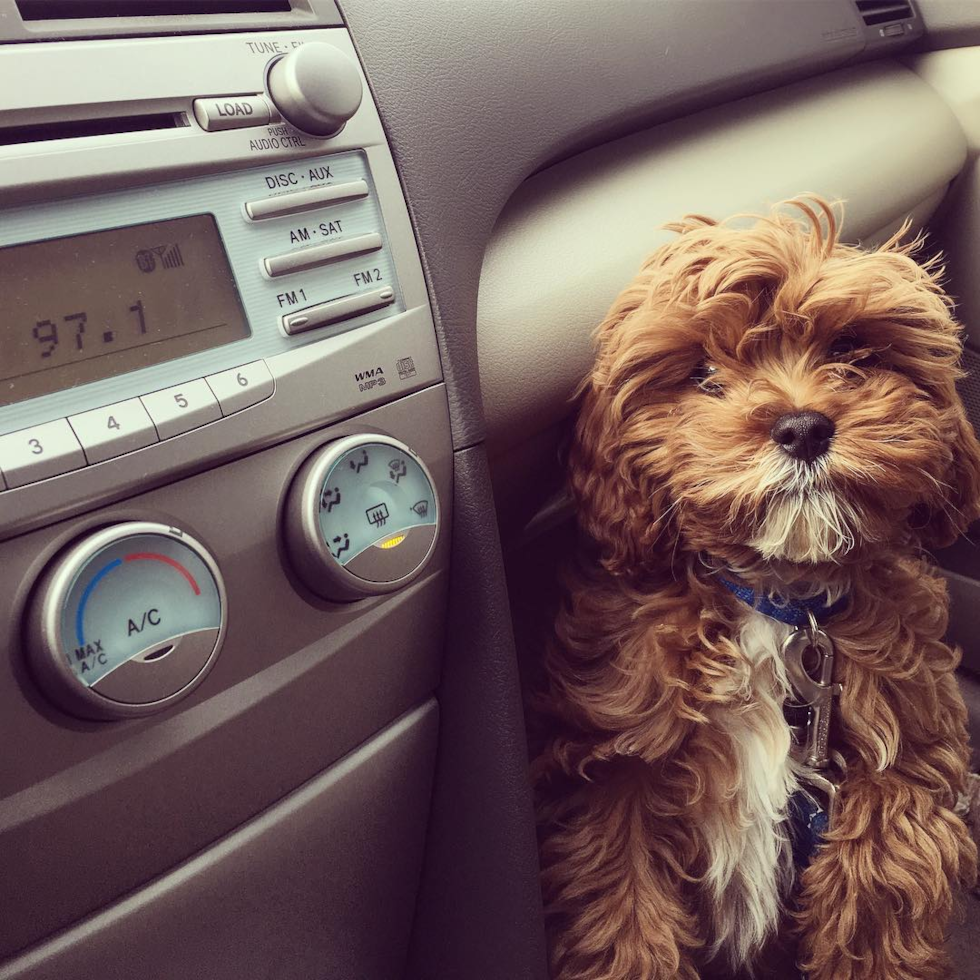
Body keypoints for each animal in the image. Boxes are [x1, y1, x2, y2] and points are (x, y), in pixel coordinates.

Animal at [536, 199, 980, 980]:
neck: (778, 599)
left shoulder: (903, 756)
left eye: (851, 350)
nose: (802, 427)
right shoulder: (615, 779)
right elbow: (625, 913)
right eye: (704, 373)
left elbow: (879, 883)